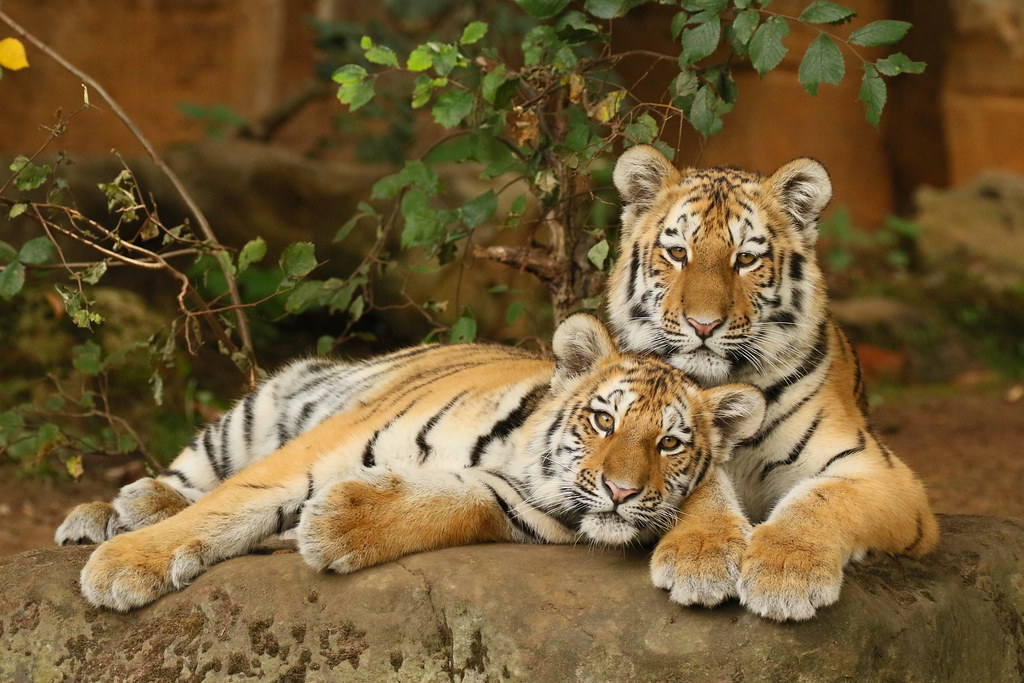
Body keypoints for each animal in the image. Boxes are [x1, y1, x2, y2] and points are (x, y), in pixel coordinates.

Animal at [58, 313, 767, 612]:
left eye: (670, 444)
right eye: (603, 420)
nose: (621, 492)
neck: (516, 457)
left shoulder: (513, 506)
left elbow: (450, 505)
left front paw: (336, 522)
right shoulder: (314, 448)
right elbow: (231, 501)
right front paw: (125, 565)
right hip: (257, 409)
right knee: (192, 476)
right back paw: (117, 511)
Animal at [606, 144, 941, 621]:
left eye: (746, 259)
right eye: (677, 253)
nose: (703, 324)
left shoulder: (882, 474)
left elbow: (821, 499)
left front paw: (786, 572)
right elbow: (704, 486)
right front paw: (701, 557)